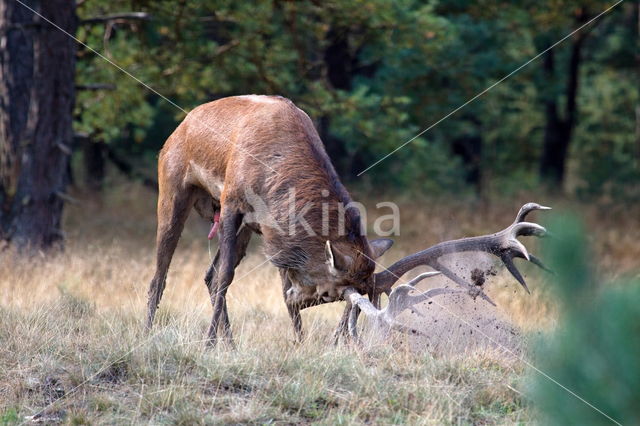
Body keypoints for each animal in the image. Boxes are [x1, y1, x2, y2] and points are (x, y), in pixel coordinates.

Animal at [146, 95, 552, 344]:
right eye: (329, 294)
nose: (342, 336)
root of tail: (180, 126)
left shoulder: (270, 230)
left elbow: (272, 286)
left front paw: (298, 343)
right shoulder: (233, 203)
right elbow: (229, 278)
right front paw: (207, 343)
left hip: (240, 226)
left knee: (209, 273)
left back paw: (229, 342)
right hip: (173, 186)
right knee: (164, 271)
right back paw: (149, 331)